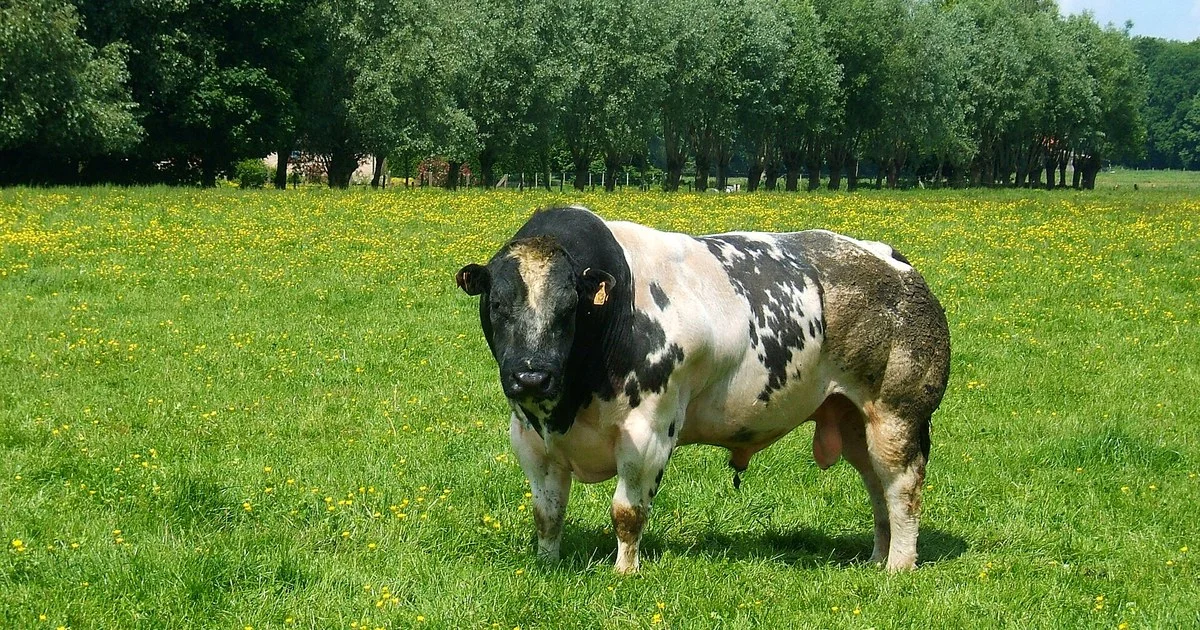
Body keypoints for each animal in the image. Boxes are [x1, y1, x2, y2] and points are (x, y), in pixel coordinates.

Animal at [455, 206, 950, 573]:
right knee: (877, 488)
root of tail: (893, 261)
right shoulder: (530, 438)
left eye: (569, 307)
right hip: (853, 420)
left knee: (902, 489)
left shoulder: (649, 432)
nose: (531, 376)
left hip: (898, 414)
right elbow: (548, 513)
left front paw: (624, 571)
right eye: (496, 304)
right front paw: (547, 563)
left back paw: (898, 566)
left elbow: (627, 512)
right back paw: (876, 558)